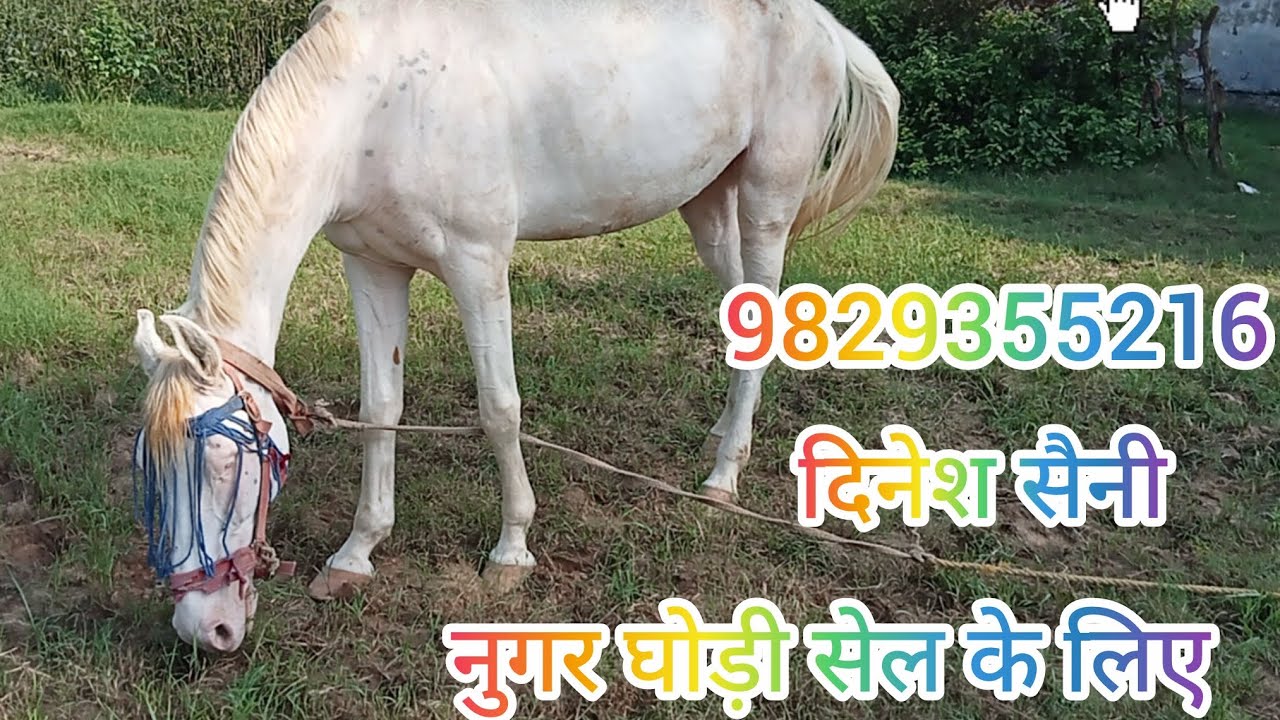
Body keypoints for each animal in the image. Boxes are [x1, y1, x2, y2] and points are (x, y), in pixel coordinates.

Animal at [130, 0, 899, 654]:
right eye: (147, 467)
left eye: (225, 461)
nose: (206, 630)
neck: (379, 103)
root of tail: (826, 26)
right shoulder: (372, 266)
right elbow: (382, 408)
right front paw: (356, 555)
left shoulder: (478, 264)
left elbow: (500, 410)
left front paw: (511, 552)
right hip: (706, 202)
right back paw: (717, 442)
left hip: (768, 199)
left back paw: (721, 478)